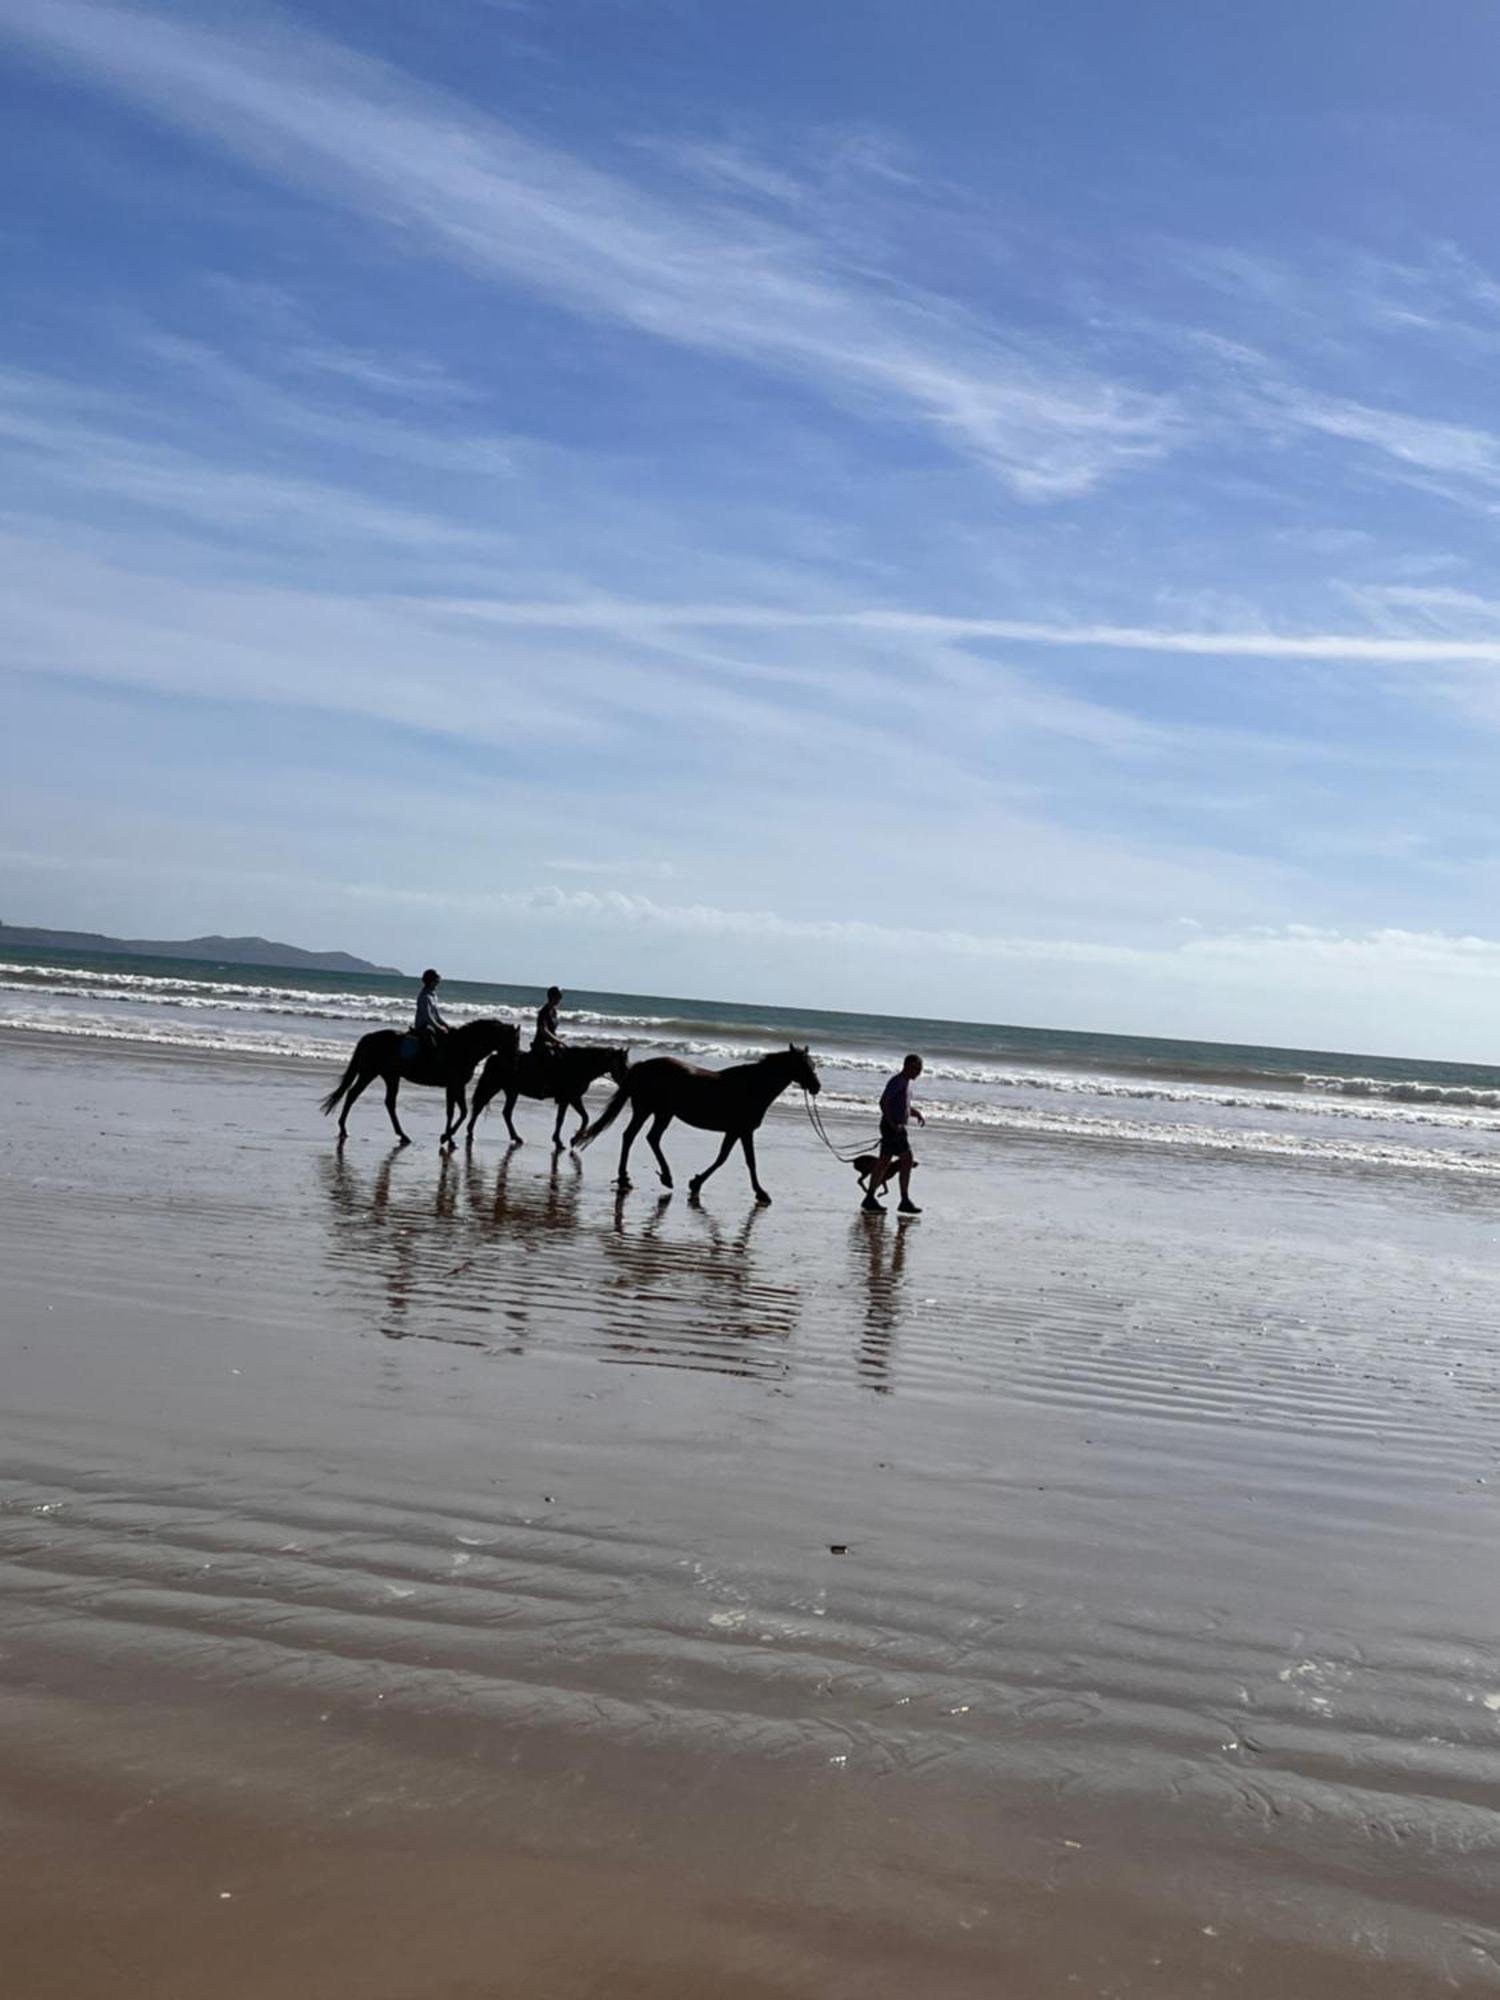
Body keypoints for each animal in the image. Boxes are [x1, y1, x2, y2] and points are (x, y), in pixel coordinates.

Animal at [320, 1024, 520, 1152]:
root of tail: (368, 1037)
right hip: (369, 1073)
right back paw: (343, 1129)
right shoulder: (454, 1084)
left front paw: (449, 1138)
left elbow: (455, 1112)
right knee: (353, 1095)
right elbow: (459, 1112)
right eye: (514, 1041)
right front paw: (446, 1137)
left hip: (390, 1076)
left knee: (388, 1103)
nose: (513, 1064)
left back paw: (402, 1135)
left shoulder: (455, 1086)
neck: (462, 1047)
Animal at [470, 1040, 636, 1152]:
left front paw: (573, 1139)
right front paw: (561, 1141)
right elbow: (563, 1119)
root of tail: (495, 1057)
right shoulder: (569, 1098)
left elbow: (584, 1117)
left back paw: (516, 1137)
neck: (578, 1066)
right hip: (494, 1086)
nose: (628, 1080)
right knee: (480, 1106)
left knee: (506, 1113)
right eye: (622, 1064)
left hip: (511, 1091)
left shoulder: (574, 1098)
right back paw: (471, 1133)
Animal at [580, 1048, 824, 1200]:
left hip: (663, 1113)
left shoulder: (737, 1131)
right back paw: (626, 1178)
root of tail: (643, 1066)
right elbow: (740, 1160)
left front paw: (696, 1183)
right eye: (803, 1066)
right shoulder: (741, 1130)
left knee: (652, 1138)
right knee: (630, 1136)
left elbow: (728, 1158)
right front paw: (761, 1193)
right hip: (646, 1110)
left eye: (813, 1064)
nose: (816, 1087)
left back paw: (664, 1177)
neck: (752, 1086)